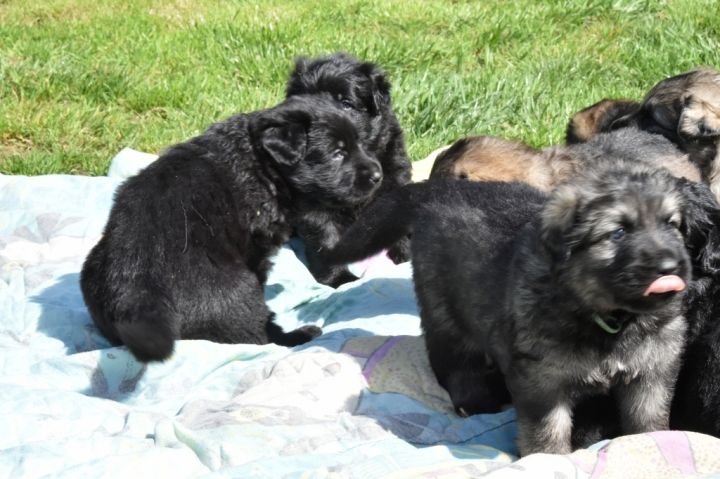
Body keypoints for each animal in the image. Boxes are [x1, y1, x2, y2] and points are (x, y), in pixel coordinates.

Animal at [80, 95, 384, 362]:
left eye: (359, 144)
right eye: (337, 153)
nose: (378, 175)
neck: (261, 164)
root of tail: (137, 296)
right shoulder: (256, 250)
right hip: (236, 290)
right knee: (258, 335)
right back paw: (301, 334)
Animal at [325, 161, 693, 456]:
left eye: (671, 224)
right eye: (618, 232)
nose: (670, 266)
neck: (606, 318)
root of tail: (442, 189)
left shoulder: (653, 372)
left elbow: (647, 420)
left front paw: (650, 440)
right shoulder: (542, 383)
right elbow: (546, 431)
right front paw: (547, 459)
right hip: (446, 312)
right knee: (453, 362)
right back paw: (473, 401)